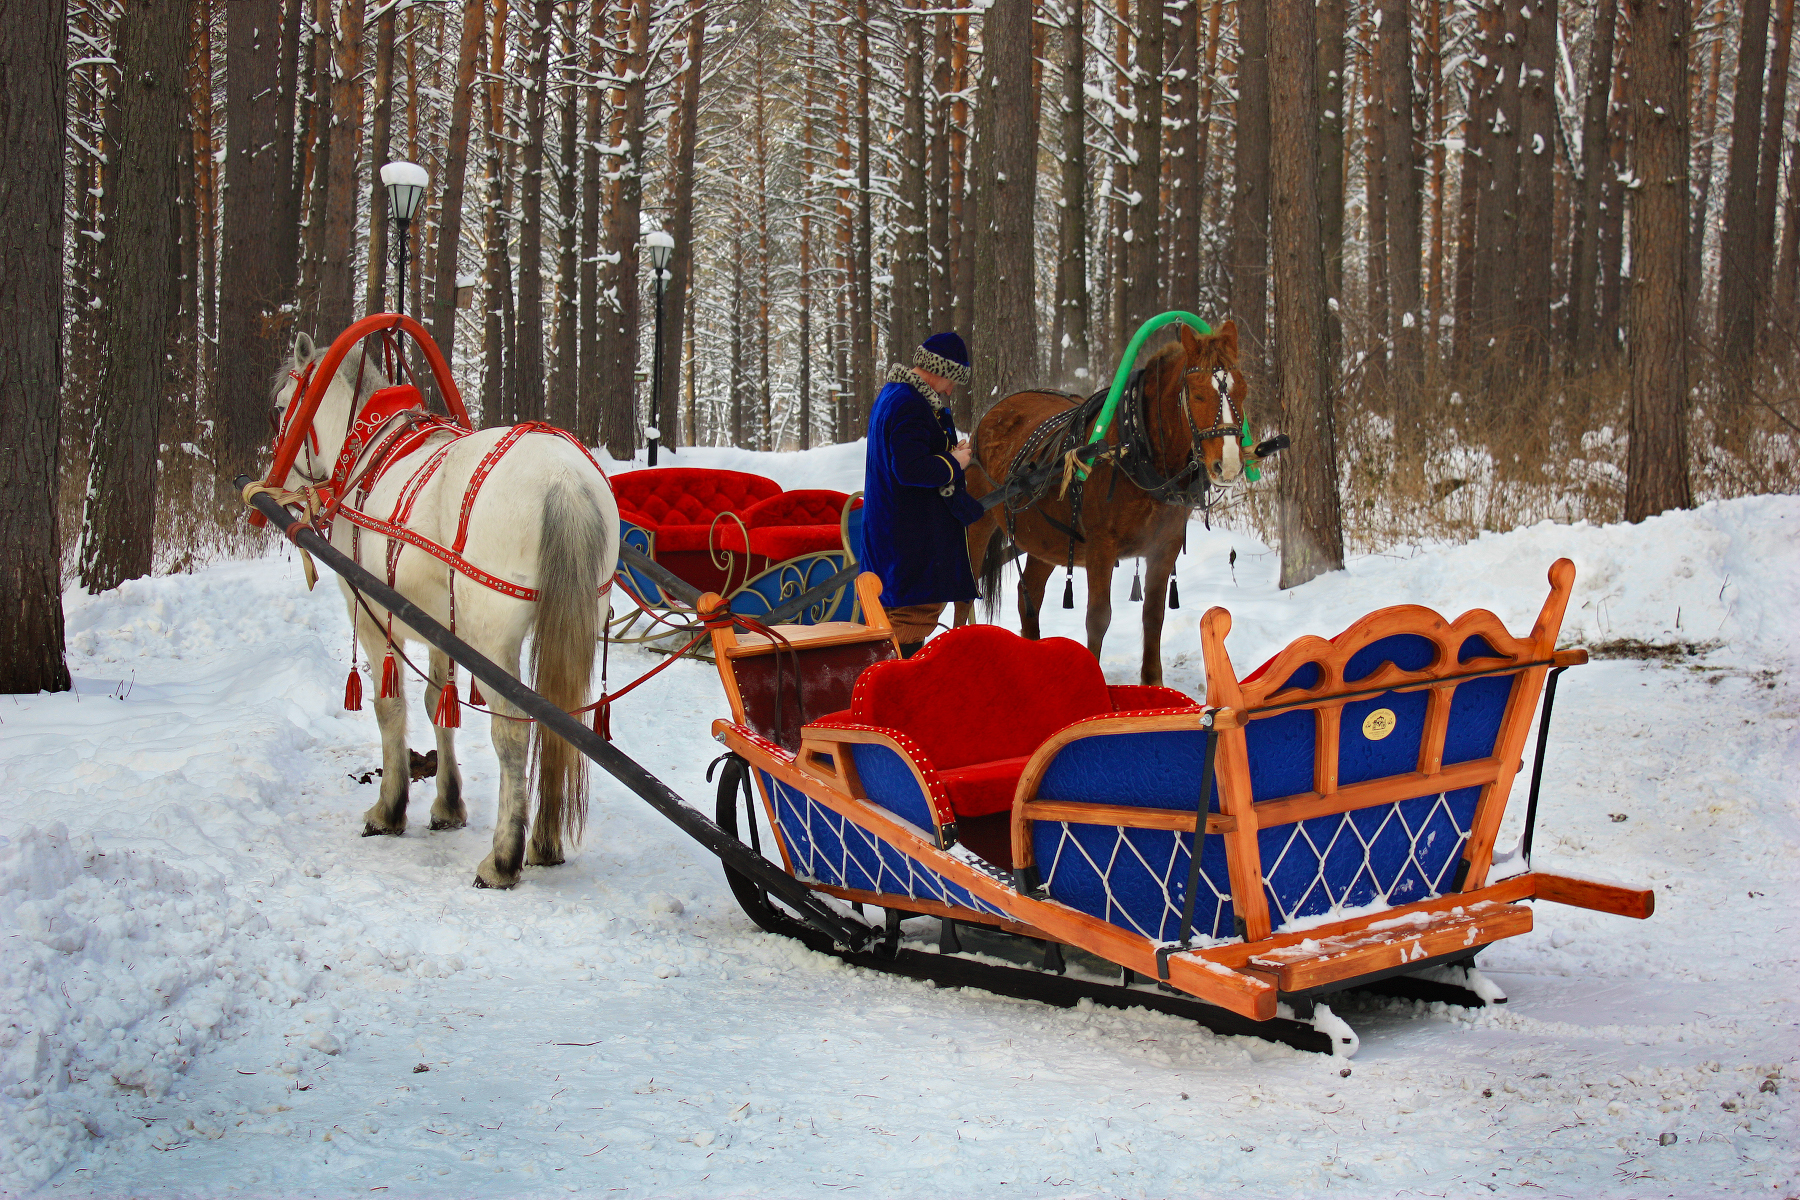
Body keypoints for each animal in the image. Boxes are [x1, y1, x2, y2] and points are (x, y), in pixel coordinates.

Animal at [271, 332, 619, 888]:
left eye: (282, 408)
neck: (366, 455)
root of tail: (564, 479)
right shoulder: (439, 625)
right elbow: (439, 702)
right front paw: (448, 804)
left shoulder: (373, 616)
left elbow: (390, 708)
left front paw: (389, 809)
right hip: (573, 622)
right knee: (558, 724)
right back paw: (543, 842)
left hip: (493, 640)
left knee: (513, 733)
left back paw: (503, 856)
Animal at [957, 322, 1252, 683]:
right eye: (1197, 395)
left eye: (1243, 391)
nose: (1230, 465)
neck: (1136, 449)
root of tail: (994, 411)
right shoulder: (1101, 547)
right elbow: (1098, 617)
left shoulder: (1163, 546)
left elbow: (1153, 615)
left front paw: (1152, 683)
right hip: (978, 523)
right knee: (965, 597)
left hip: (1049, 541)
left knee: (1031, 599)